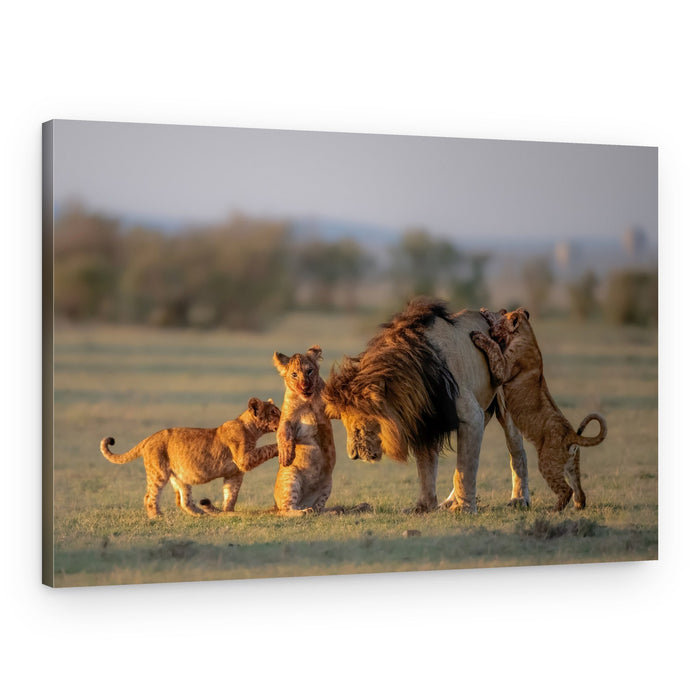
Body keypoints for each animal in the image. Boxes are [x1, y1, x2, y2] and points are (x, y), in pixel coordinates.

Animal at [100, 397, 281, 518]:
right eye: (274, 413)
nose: (284, 417)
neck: (252, 430)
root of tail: (149, 438)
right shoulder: (244, 460)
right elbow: (266, 449)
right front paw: (281, 445)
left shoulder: (234, 473)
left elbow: (231, 494)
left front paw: (227, 512)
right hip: (158, 472)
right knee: (150, 496)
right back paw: (157, 516)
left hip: (180, 476)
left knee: (183, 501)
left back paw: (202, 515)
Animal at [272, 345, 336, 516]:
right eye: (294, 375)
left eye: (309, 371)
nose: (305, 386)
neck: (308, 400)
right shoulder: (287, 418)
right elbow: (283, 432)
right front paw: (286, 455)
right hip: (291, 478)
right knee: (286, 510)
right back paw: (302, 512)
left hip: (327, 482)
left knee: (318, 508)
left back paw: (328, 512)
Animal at [322, 297, 529, 513]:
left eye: (357, 427)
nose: (352, 456)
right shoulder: (423, 419)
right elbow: (426, 468)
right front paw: (423, 507)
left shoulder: (471, 417)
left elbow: (464, 468)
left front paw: (464, 507)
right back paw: (449, 502)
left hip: (506, 398)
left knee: (517, 451)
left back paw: (519, 499)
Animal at [471, 307, 607, 510]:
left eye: (499, 324)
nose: (491, 328)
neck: (527, 334)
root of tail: (571, 435)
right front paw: (485, 312)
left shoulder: (504, 368)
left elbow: (494, 347)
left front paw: (479, 335)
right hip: (572, 465)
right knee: (579, 490)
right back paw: (578, 506)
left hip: (547, 463)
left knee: (566, 490)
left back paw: (554, 510)